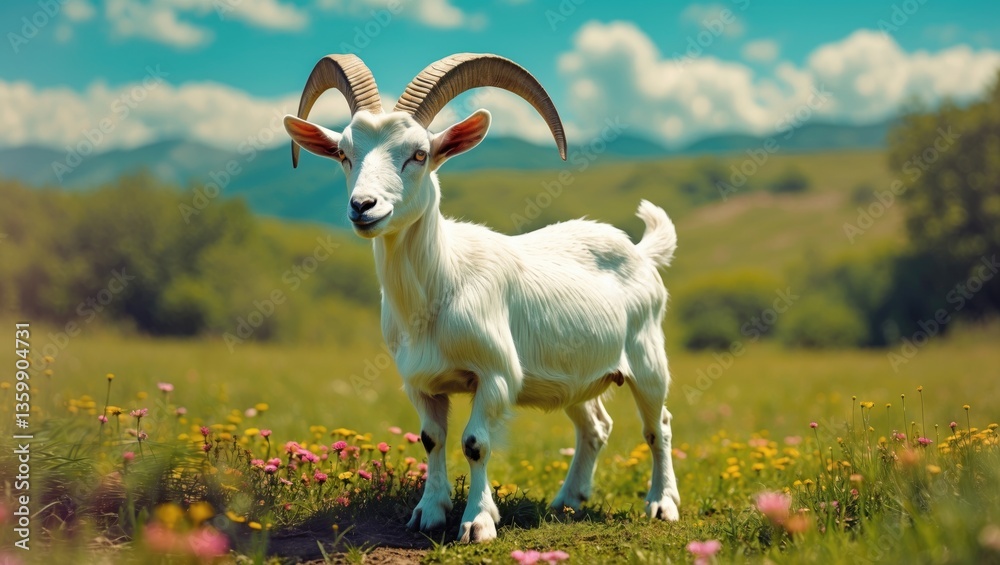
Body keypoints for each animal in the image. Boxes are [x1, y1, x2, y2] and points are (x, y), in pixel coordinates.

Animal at [283, 53, 681, 543]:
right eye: (343, 153)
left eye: (419, 154)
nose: (363, 206)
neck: (440, 286)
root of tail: (642, 251)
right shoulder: (420, 382)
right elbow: (432, 439)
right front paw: (429, 513)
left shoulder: (496, 374)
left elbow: (476, 443)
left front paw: (478, 521)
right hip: (575, 372)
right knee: (595, 426)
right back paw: (568, 500)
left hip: (647, 357)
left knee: (658, 426)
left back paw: (661, 504)